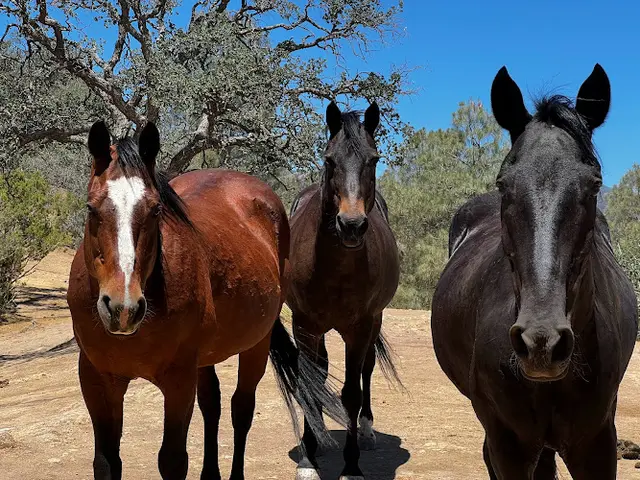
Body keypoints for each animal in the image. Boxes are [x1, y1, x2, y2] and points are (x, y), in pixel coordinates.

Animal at [66, 120, 345, 480]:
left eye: (155, 209)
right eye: (91, 208)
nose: (122, 308)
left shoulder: (179, 382)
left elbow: (172, 460)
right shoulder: (97, 380)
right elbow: (106, 461)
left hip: (255, 346)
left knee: (241, 409)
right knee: (212, 406)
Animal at [287, 101, 401, 480]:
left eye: (374, 160)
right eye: (329, 160)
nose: (351, 225)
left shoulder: (360, 327)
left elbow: (351, 392)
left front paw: (352, 466)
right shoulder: (305, 324)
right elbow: (310, 383)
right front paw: (308, 460)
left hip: (374, 323)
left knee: (366, 371)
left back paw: (365, 431)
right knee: (319, 372)